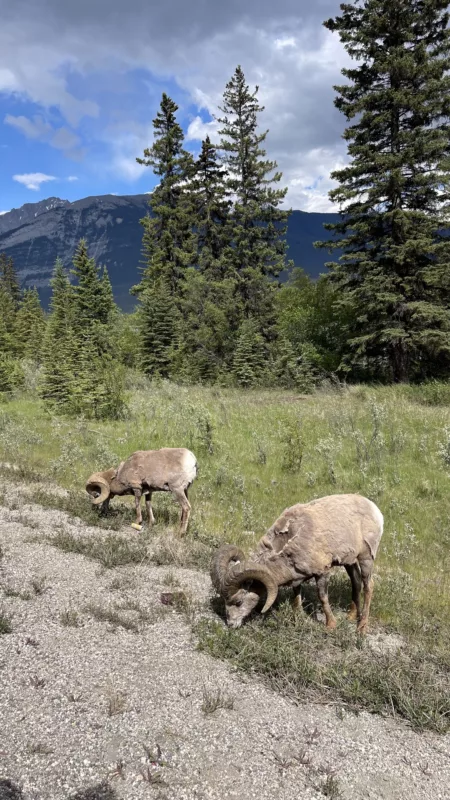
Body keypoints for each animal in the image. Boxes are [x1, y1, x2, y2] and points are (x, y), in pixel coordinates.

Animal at [211, 490, 384, 636]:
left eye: (238, 602)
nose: (231, 624)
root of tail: (375, 510)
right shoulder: (297, 577)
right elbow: (296, 595)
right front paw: (299, 617)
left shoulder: (322, 572)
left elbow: (322, 597)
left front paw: (330, 625)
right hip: (350, 562)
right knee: (356, 582)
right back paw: (351, 616)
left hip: (366, 558)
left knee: (368, 586)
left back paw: (361, 628)